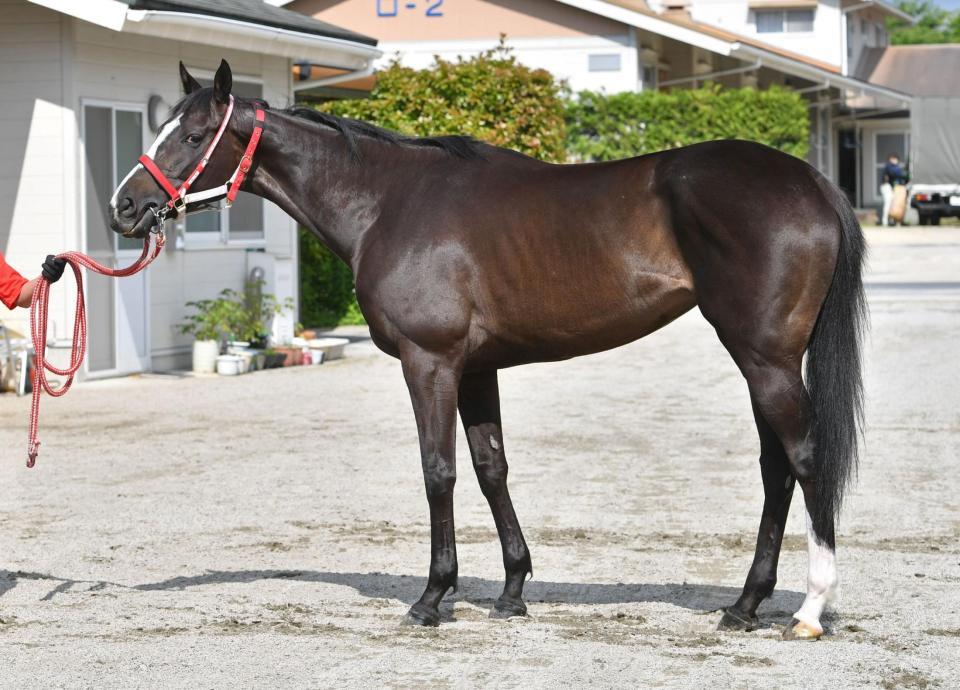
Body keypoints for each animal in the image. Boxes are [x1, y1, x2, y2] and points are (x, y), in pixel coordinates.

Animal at [110, 60, 866, 640]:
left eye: (195, 134)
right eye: (162, 128)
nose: (124, 208)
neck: (388, 202)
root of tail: (811, 182)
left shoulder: (431, 362)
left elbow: (438, 471)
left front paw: (432, 597)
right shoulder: (477, 370)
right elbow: (490, 468)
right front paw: (511, 592)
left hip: (764, 358)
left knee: (803, 459)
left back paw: (809, 609)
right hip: (760, 358)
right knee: (776, 469)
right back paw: (744, 605)